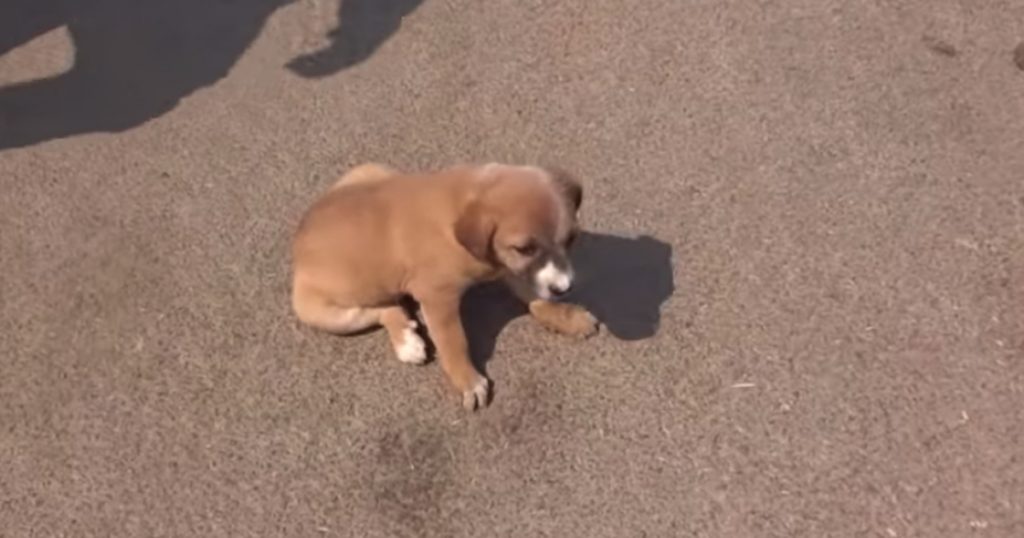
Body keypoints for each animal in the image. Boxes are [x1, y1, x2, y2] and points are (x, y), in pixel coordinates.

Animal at [290, 161, 598, 409]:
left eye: (571, 239)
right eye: (525, 248)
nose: (565, 288)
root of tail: (299, 240)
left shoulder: (506, 264)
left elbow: (535, 296)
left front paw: (566, 317)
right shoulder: (437, 296)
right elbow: (453, 340)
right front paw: (468, 380)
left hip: (373, 168)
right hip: (324, 314)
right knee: (378, 310)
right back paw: (406, 341)